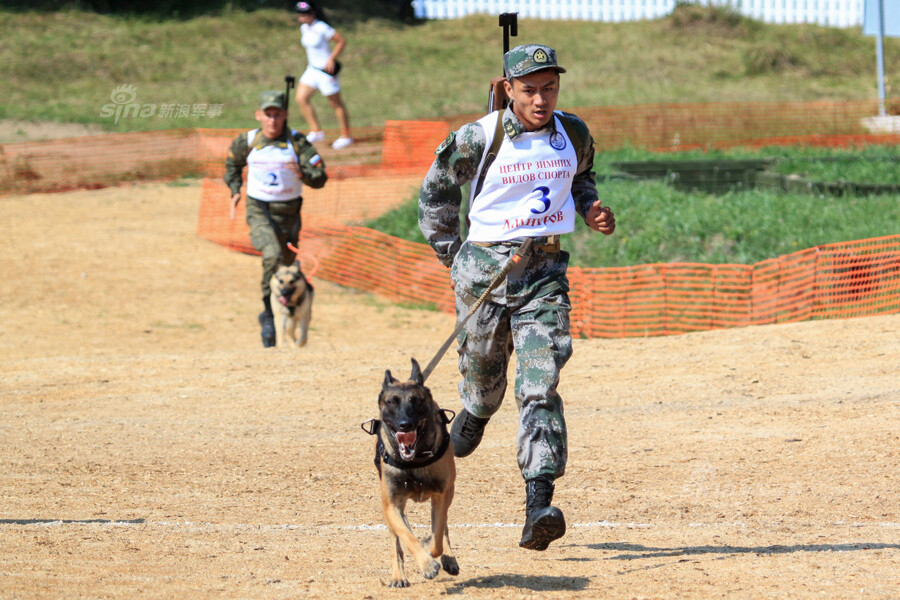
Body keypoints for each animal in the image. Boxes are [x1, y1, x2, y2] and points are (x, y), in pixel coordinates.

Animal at [360, 358, 458, 588]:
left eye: (416, 401)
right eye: (392, 402)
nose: (405, 425)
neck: (414, 462)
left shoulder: (441, 495)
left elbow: (437, 537)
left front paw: (431, 550)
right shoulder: (392, 505)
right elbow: (406, 536)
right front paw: (427, 564)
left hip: (449, 491)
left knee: (443, 528)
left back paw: (448, 558)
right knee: (396, 539)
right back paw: (398, 576)